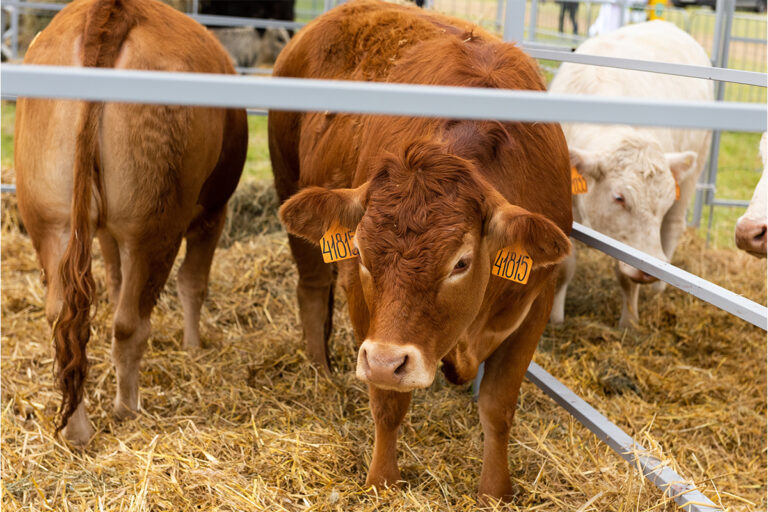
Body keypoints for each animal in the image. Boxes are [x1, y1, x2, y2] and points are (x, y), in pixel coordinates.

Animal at [15, 0, 248, 446]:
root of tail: (110, 11)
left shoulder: (105, 232)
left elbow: (115, 278)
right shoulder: (213, 213)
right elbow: (194, 283)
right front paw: (193, 347)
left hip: (51, 220)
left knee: (63, 318)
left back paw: (77, 429)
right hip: (154, 225)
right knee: (129, 323)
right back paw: (127, 408)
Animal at [269, 0, 572, 501]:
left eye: (462, 262)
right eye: (361, 253)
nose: (386, 360)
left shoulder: (535, 301)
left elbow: (498, 407)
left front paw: (495, 489)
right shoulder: (364, 307)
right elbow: (388, 403)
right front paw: (382, 481)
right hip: (287, 181)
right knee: (311, 288)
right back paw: (320, 370)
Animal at [548, 21, 714, 328]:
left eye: (663, 203)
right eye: (619, 198)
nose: (651, 269)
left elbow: (628, 277)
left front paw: (630, 321)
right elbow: (566, 265)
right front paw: (555, 317)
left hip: (693, 172)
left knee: (673, 227)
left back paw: (659, 288)